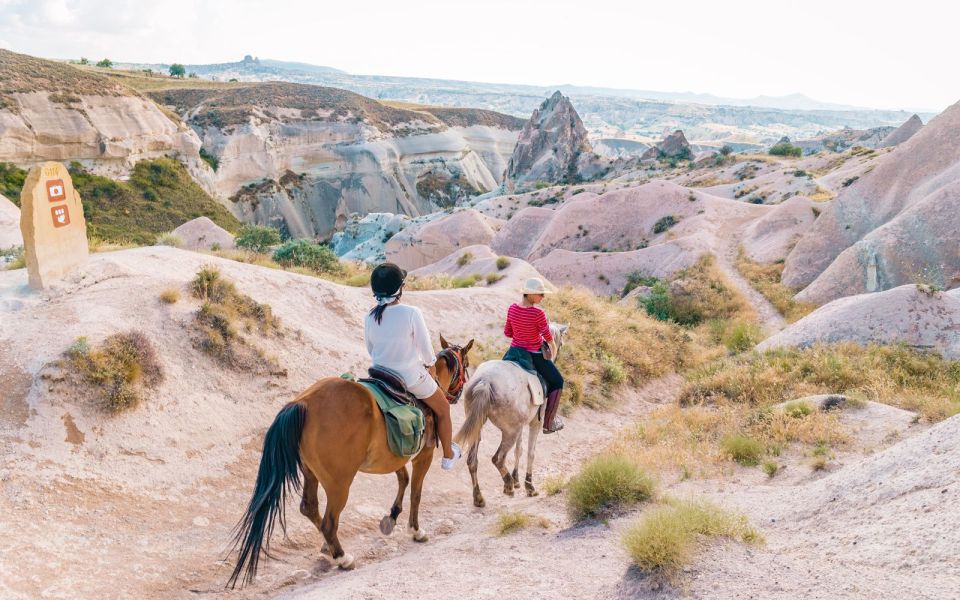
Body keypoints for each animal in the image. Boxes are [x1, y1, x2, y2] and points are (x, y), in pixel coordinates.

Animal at [230, 336, 476, 588]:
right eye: (466, 365)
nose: (458, 394)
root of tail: (305, 402)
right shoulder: (423, 457)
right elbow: (416, 493)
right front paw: (415, 531)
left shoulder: (395, 457)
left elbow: (403, 479)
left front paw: (392, 516)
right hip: (339, 483)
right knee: (329, 521)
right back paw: (342, 557)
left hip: (310, 472)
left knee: (309, 507)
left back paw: (328, 548)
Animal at [454, 324, 568, 506]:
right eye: (561, 343)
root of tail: (486, 380)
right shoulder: (535, 423)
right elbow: (530, 452)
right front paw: (528, 486)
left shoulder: (520, 424)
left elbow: (519, 450)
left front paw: (517, 479)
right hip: (509, 431)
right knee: (498, 458)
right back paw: (508, 485)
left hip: (479, 426)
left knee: (472, 461)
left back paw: (479, 497)